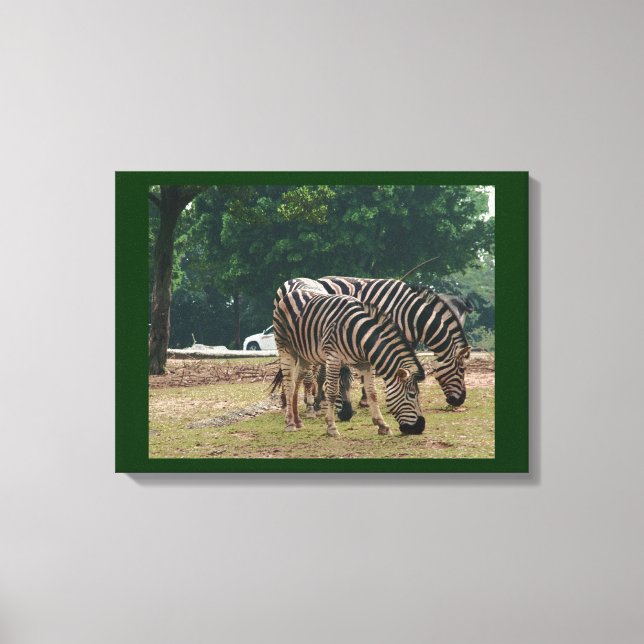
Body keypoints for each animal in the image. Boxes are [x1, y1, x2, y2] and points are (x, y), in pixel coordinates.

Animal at [272, 288, 426, 436]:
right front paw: (331, 427)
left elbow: (372, 392)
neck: (361, 335)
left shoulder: (367, 364)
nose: (420, 427)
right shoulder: (333, 358)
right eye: (412, 395)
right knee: (289, 385)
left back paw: (298, 421)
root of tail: (292, 292)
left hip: (305, 355)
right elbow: (332, 391)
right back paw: (290, 423)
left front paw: (382, 425)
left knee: (298, 381)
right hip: (285, 348)